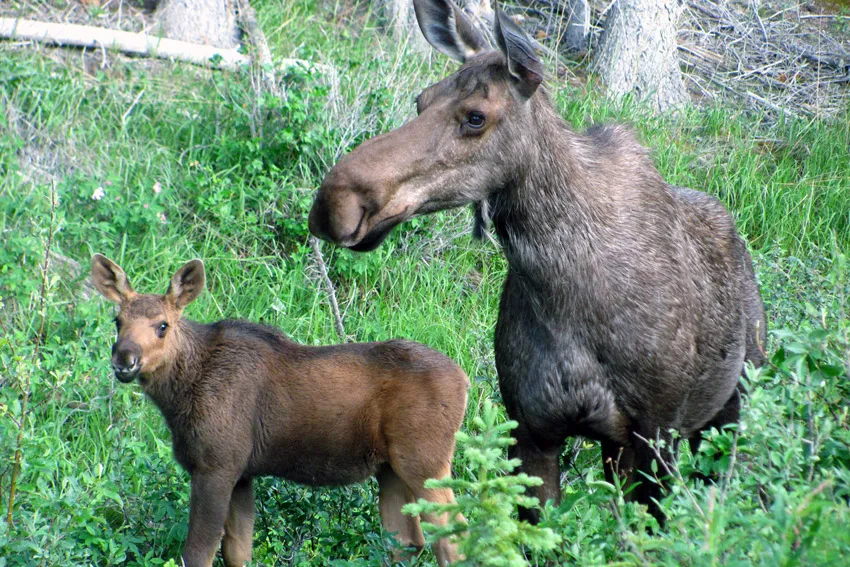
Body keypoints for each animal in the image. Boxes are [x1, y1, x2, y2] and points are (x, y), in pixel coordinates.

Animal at [91, 253, 468, 566]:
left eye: (162, 325)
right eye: (117, 320)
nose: (125, 358)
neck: (179, 397)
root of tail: (465, 382)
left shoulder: (216, 464)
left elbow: (197, 553)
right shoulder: (242, 473)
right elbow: (238, 552)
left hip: (425, 460)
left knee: (454, 537)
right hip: (391, 469)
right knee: (406, 542)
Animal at [308, 0, 767, 525]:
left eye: (475, 117)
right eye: (421, 100)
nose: (334, 202)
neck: (563, 289)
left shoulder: (657, 431)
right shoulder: (532, 428)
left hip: (736, 402)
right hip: (620, 446)